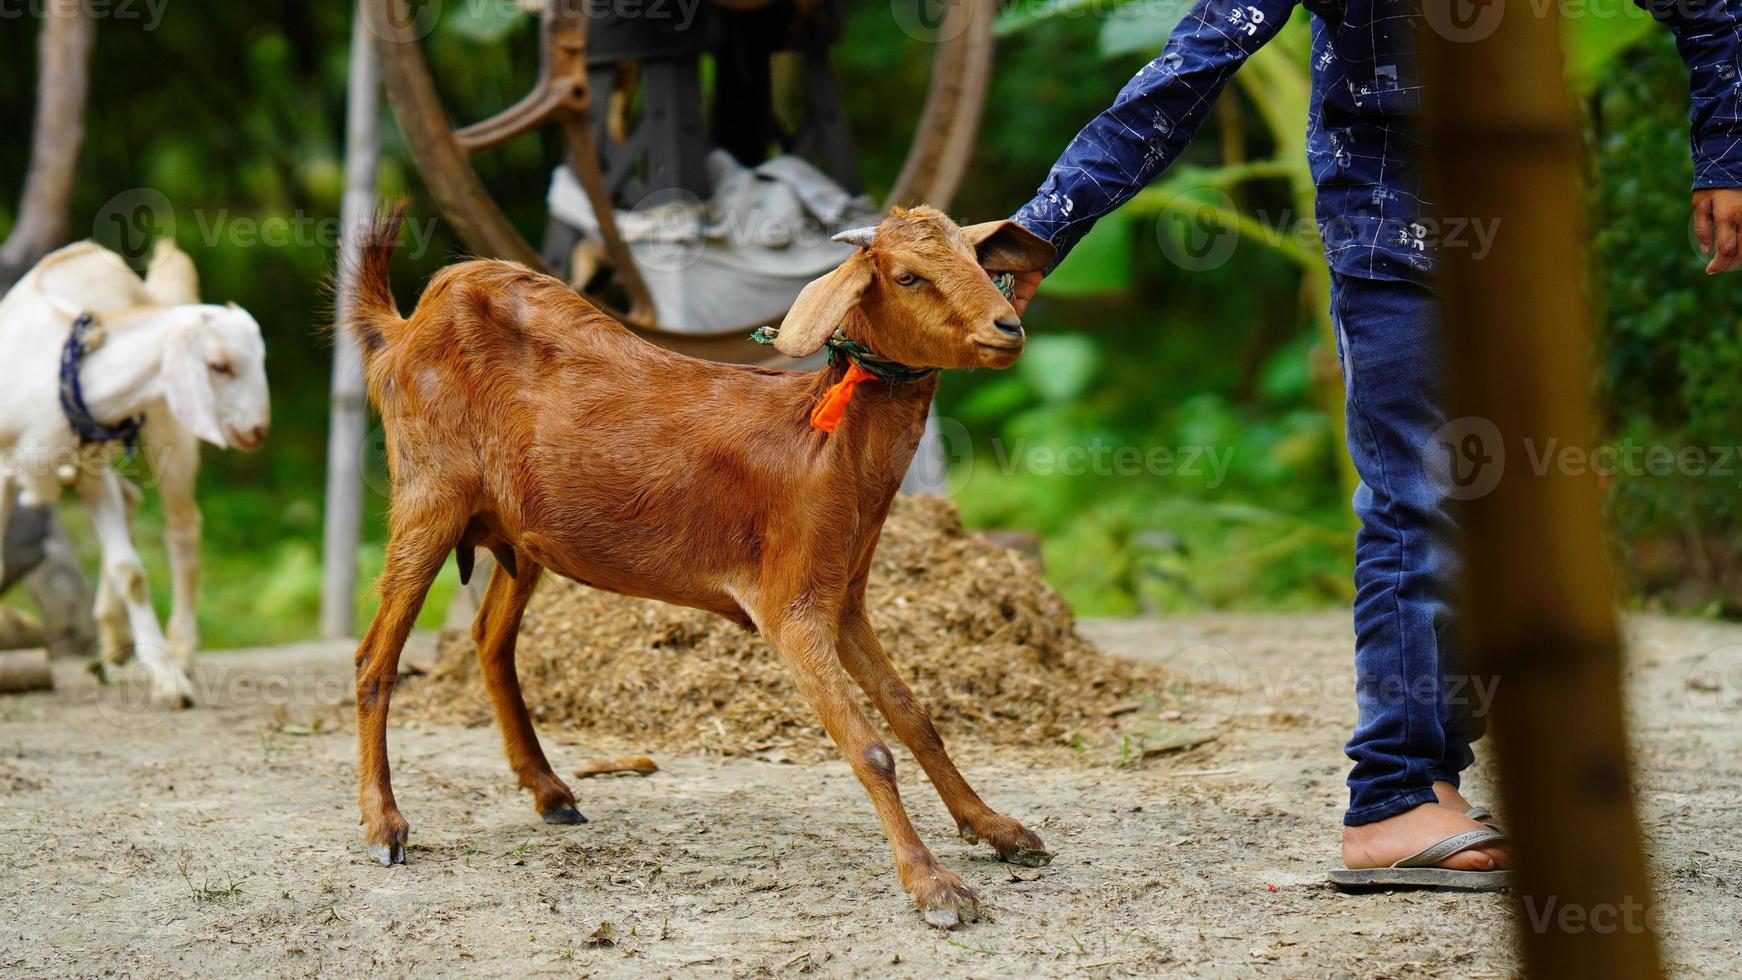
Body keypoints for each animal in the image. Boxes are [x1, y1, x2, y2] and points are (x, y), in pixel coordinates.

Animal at [0, 241, 270, 710]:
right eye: (220, 365)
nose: (257, 430)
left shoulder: (91, 465)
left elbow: (132, 572)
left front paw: (168, 681)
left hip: (171, 428)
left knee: (182, 528)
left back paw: (179, 651)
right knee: (131, 500)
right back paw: (110, 646)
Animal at [339, 199, 1045, 926]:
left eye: (977, 258)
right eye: (907, 276)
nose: (1008, 325)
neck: (827, 448)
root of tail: (403, 327)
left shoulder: (844, 598)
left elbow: (915, 717)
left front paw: (997, 829)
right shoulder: (790, 606)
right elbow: (871, 747)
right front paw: (934, 886)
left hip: (523, 535)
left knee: (489, 640)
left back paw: (551, 792)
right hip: (428, 497)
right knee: (375, 659)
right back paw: (385, 824)